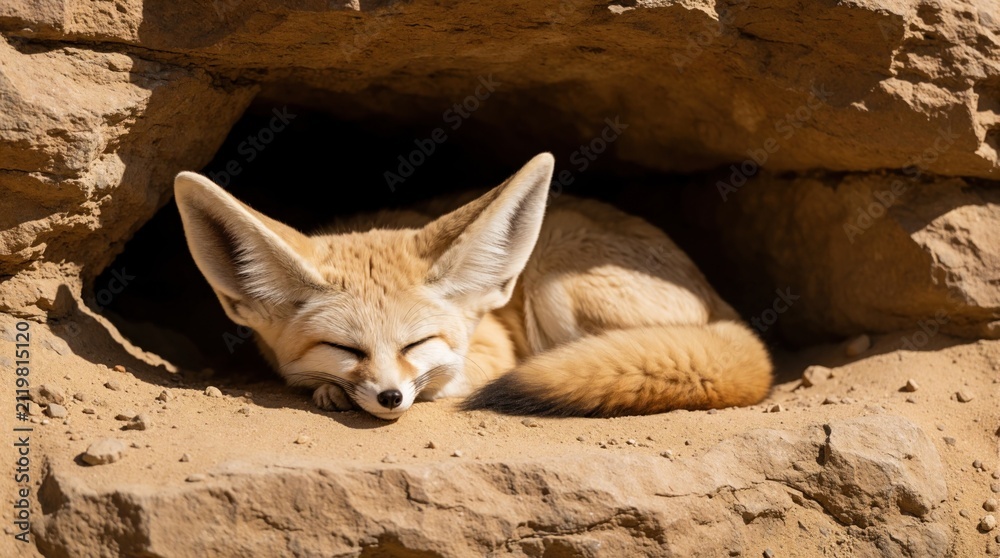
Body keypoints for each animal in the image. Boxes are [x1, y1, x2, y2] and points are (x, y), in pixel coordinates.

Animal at [173, 153, 772, 420]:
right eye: (345, 348)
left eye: (417, 343)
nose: (390, 397)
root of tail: (721, 303)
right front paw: (328, 388)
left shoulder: (494, 348)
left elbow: (453, 377)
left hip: (553, 279)